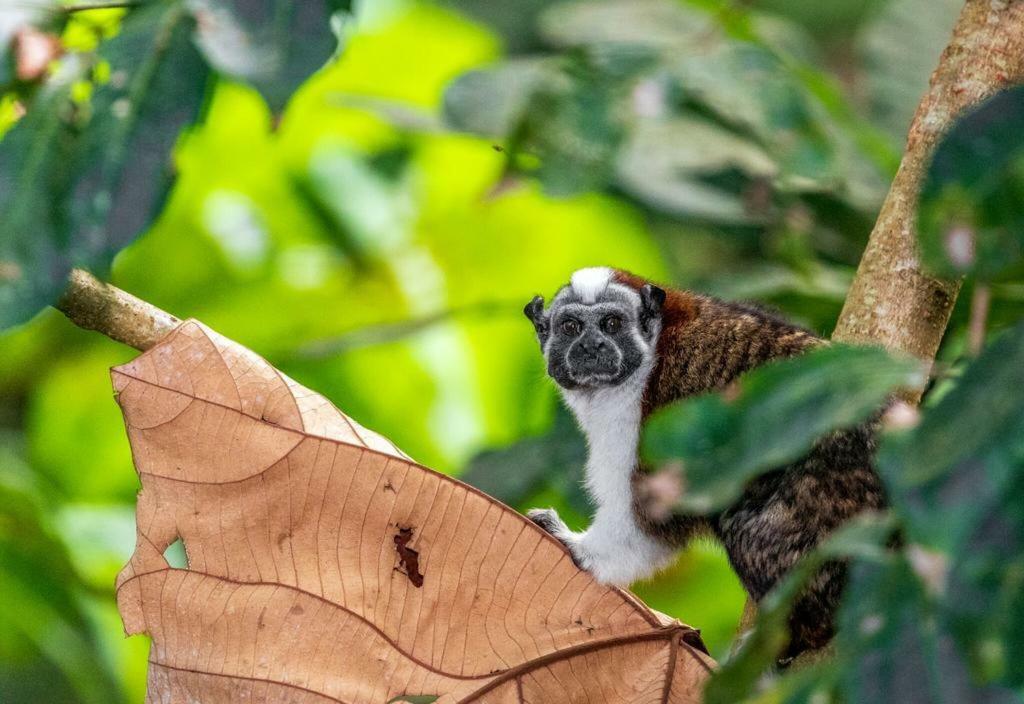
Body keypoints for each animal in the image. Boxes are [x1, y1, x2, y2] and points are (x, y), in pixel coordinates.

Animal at [524, 266, 884, 658]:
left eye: (612, 323)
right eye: (570, 327)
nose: (591, 346)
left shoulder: (644, 421)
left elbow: (651, 522)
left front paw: (574, 545)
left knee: (744, 523)